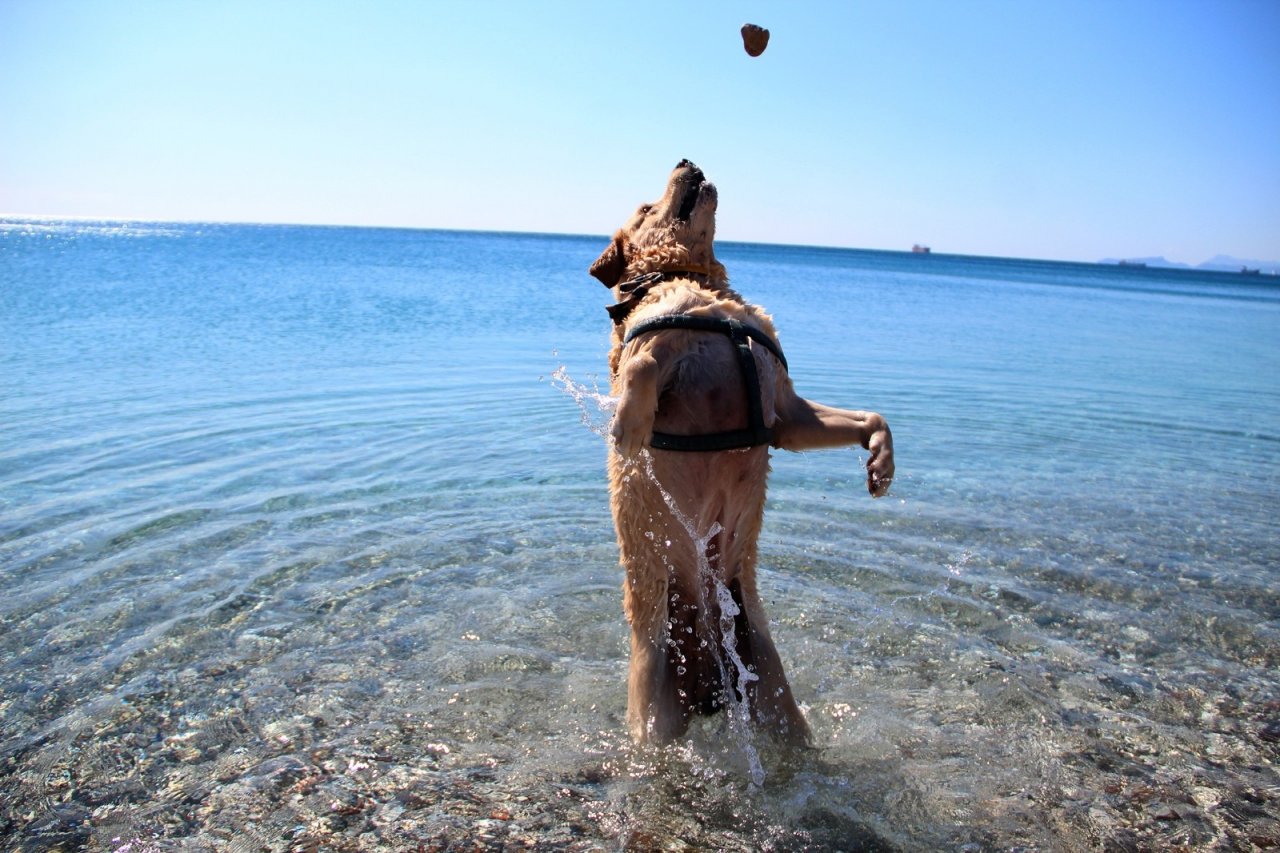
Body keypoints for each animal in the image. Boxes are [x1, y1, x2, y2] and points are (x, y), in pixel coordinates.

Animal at [586, 161, 896, 742]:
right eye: (645, 209)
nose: (686, 160)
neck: (703, 290)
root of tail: (705, 685)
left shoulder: (787, 414)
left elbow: (869, 418)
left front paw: (881, 461)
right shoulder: (656, 344)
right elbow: (640, 365)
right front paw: (628, 425)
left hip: (772, 689)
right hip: (654, 701)